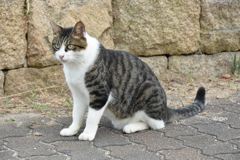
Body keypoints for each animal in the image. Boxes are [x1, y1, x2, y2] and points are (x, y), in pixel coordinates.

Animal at [49, 20, 205, 141]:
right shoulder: (78, 94)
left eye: (70, 46)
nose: (61, 56)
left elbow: (92, 117)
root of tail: (165, 109)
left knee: (157, 124)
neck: (75, 66)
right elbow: (76, 114)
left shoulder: (100, 93)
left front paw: (87, 134)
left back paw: (131, 127)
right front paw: (72, 130)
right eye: (56, 46)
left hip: (149, 88)